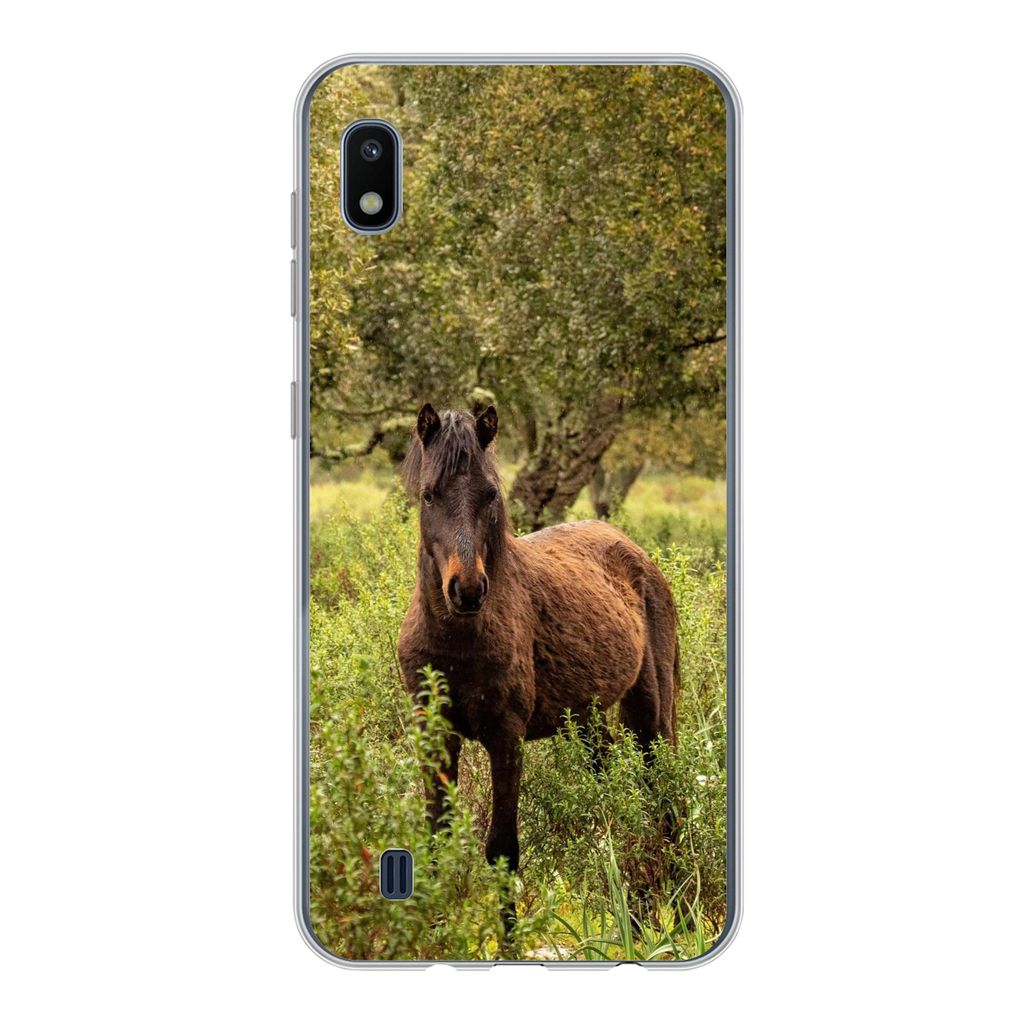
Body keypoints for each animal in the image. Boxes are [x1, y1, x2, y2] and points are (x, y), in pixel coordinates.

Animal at [397, 403, 679, 933]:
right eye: (428, 494)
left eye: (489, 493)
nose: (467, 591)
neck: (457, 640)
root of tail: (637, 553)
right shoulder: (435, 731)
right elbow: (436, 839)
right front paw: (430, 931)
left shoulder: (506, 737)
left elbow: (502, 850)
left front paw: (509, 942)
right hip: (589, 723)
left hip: (651, 714)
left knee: (664, 798)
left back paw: (670, 912)